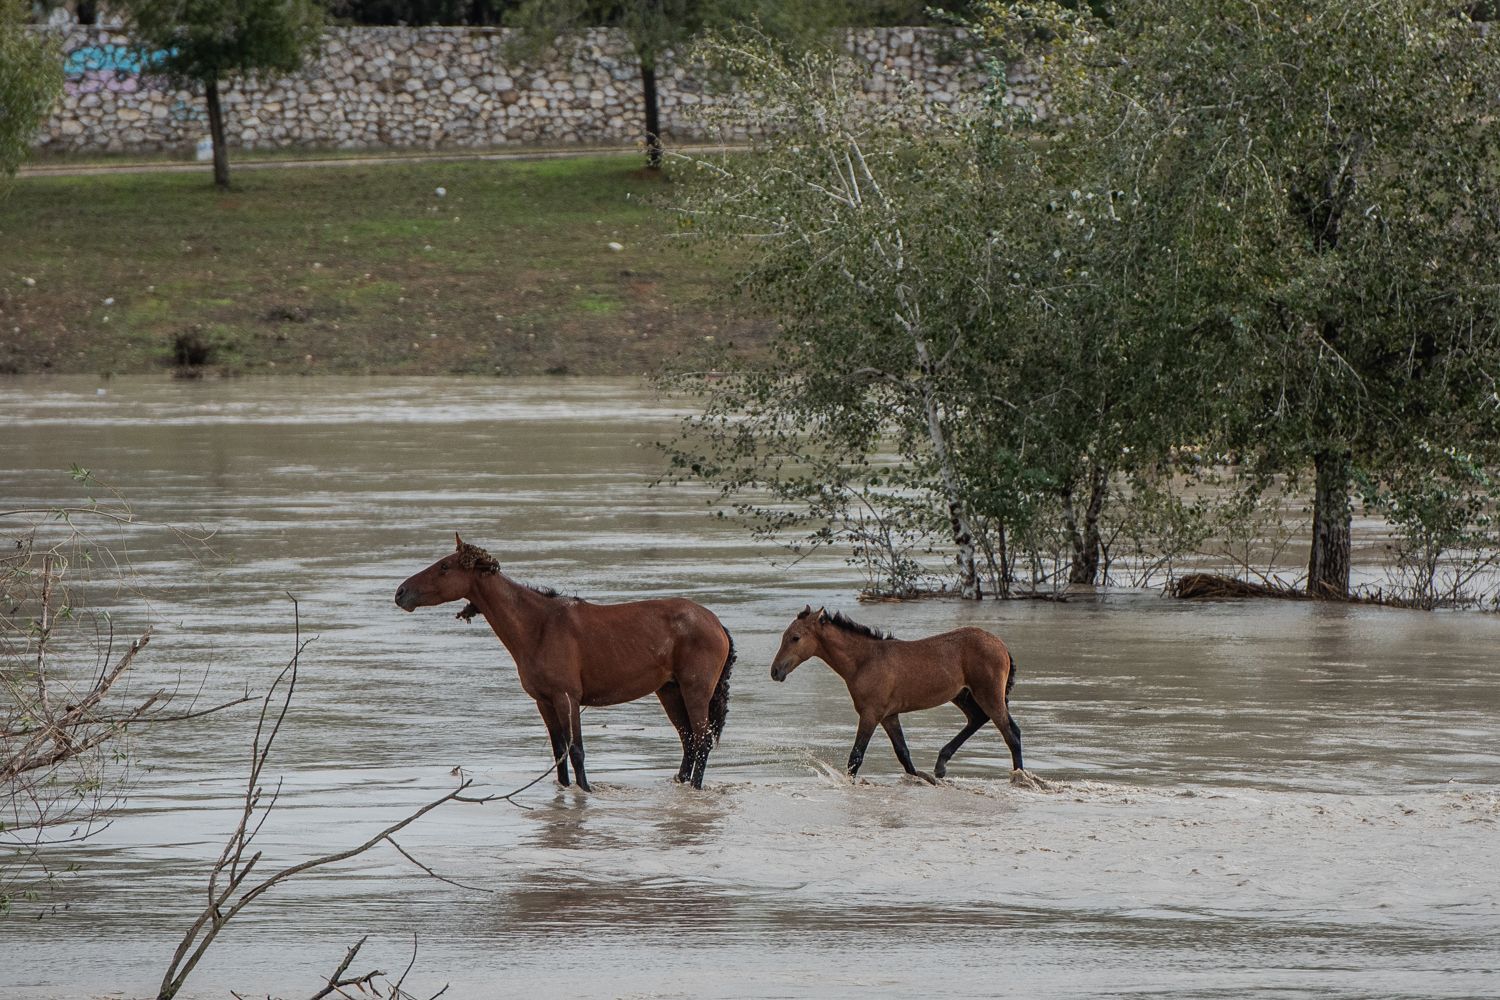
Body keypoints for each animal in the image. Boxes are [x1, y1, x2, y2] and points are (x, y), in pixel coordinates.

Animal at [393, 536, 732, 791]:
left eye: (444, 566)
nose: (401, 592)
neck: (539, 626)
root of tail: (715, 622)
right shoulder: (544, 701)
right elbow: (559, 752)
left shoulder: (566, 697)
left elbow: (576, 751)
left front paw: (586, 791)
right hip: (670, 690)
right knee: (688, 741)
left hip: (694, 690)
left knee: (701, 741)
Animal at [774, 605, 1020, 785]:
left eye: (795, 637)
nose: (775, 671)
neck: (865, 661)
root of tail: (1000, 644)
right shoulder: (888, 716)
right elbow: (903, 753)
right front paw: (922, 779)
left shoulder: (870, 714)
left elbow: (856, 756)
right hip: (963, 695)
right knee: (978, 719)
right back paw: (941, 765)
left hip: (988, 693)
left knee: (1011, 734)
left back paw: (1020, 777)